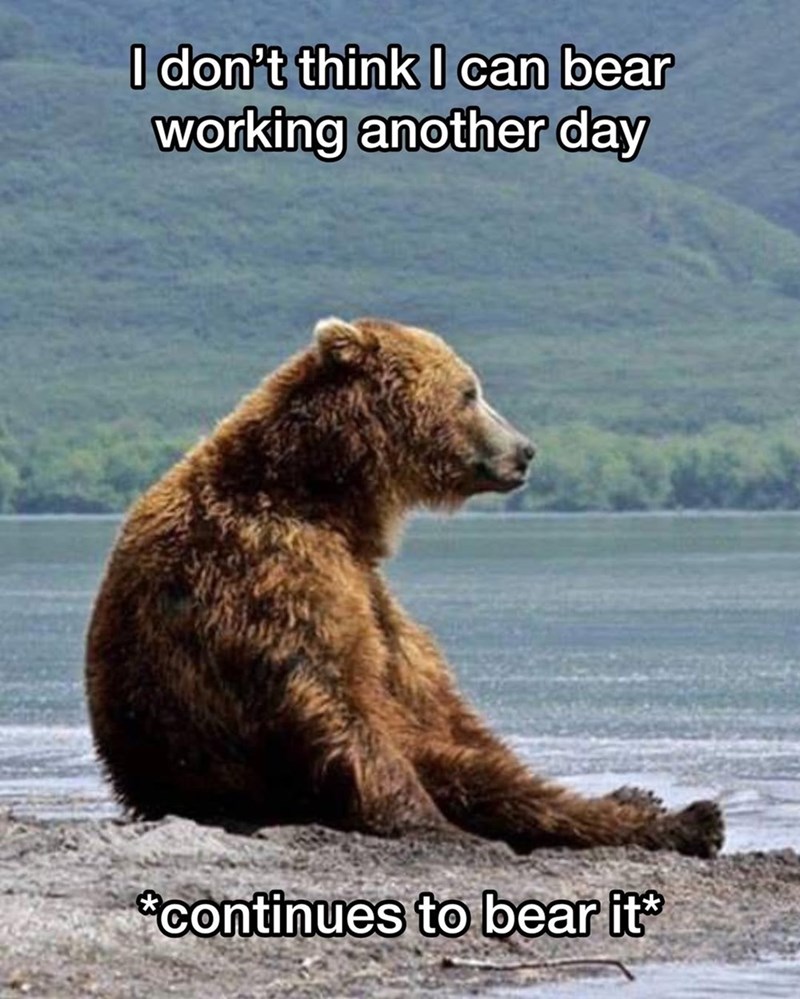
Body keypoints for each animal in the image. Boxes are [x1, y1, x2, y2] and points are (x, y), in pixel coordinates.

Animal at [85, 317, 724, 857]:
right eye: (469, 392)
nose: (524, 451)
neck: (323, 496)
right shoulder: (270, 567)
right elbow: (333, 695)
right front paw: (435, 824)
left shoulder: (370, 589)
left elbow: (429, 694)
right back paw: (688, 820)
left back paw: (642, 799)